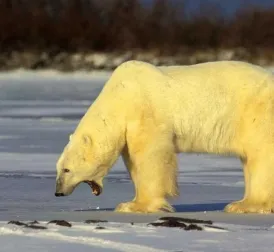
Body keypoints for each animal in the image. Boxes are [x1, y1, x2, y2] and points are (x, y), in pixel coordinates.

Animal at [54, 60, 274, 214]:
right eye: (58, 168)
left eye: (66, 169)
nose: (58, 192)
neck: (118, 97)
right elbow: (133, 160)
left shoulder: (144, 112)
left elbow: (150, 156)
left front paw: (134, 205)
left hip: (256, 114)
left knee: (261, 156)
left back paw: (244, 205)